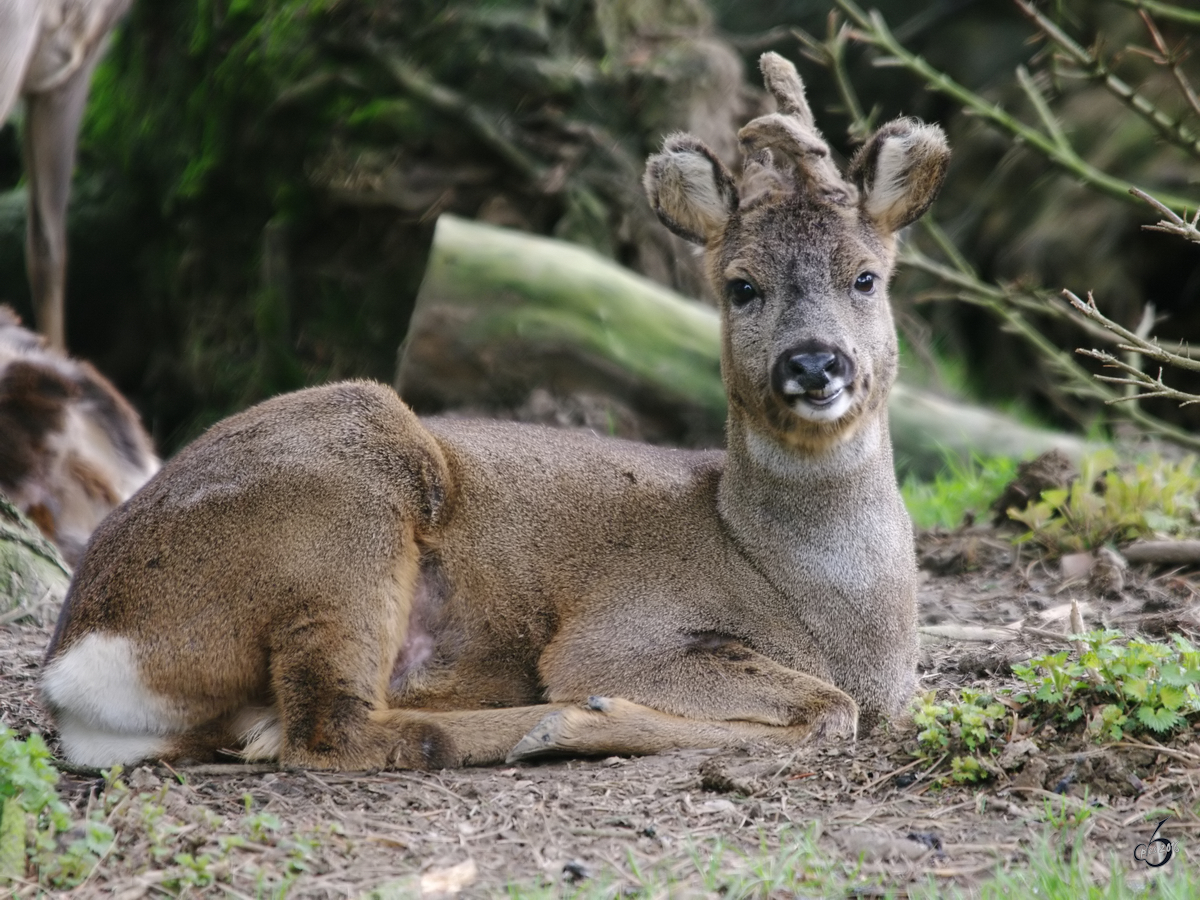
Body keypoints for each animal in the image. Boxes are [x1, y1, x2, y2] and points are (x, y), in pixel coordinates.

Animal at [42, 56, 950, 772]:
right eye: (741, 286)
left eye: (866, 276)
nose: (814, 362)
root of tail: (79, 659)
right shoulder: (622, 630)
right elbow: (829, 709)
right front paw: (585, 716)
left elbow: (834, 710)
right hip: (341, 506)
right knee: (331, 731)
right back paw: (526, 725)